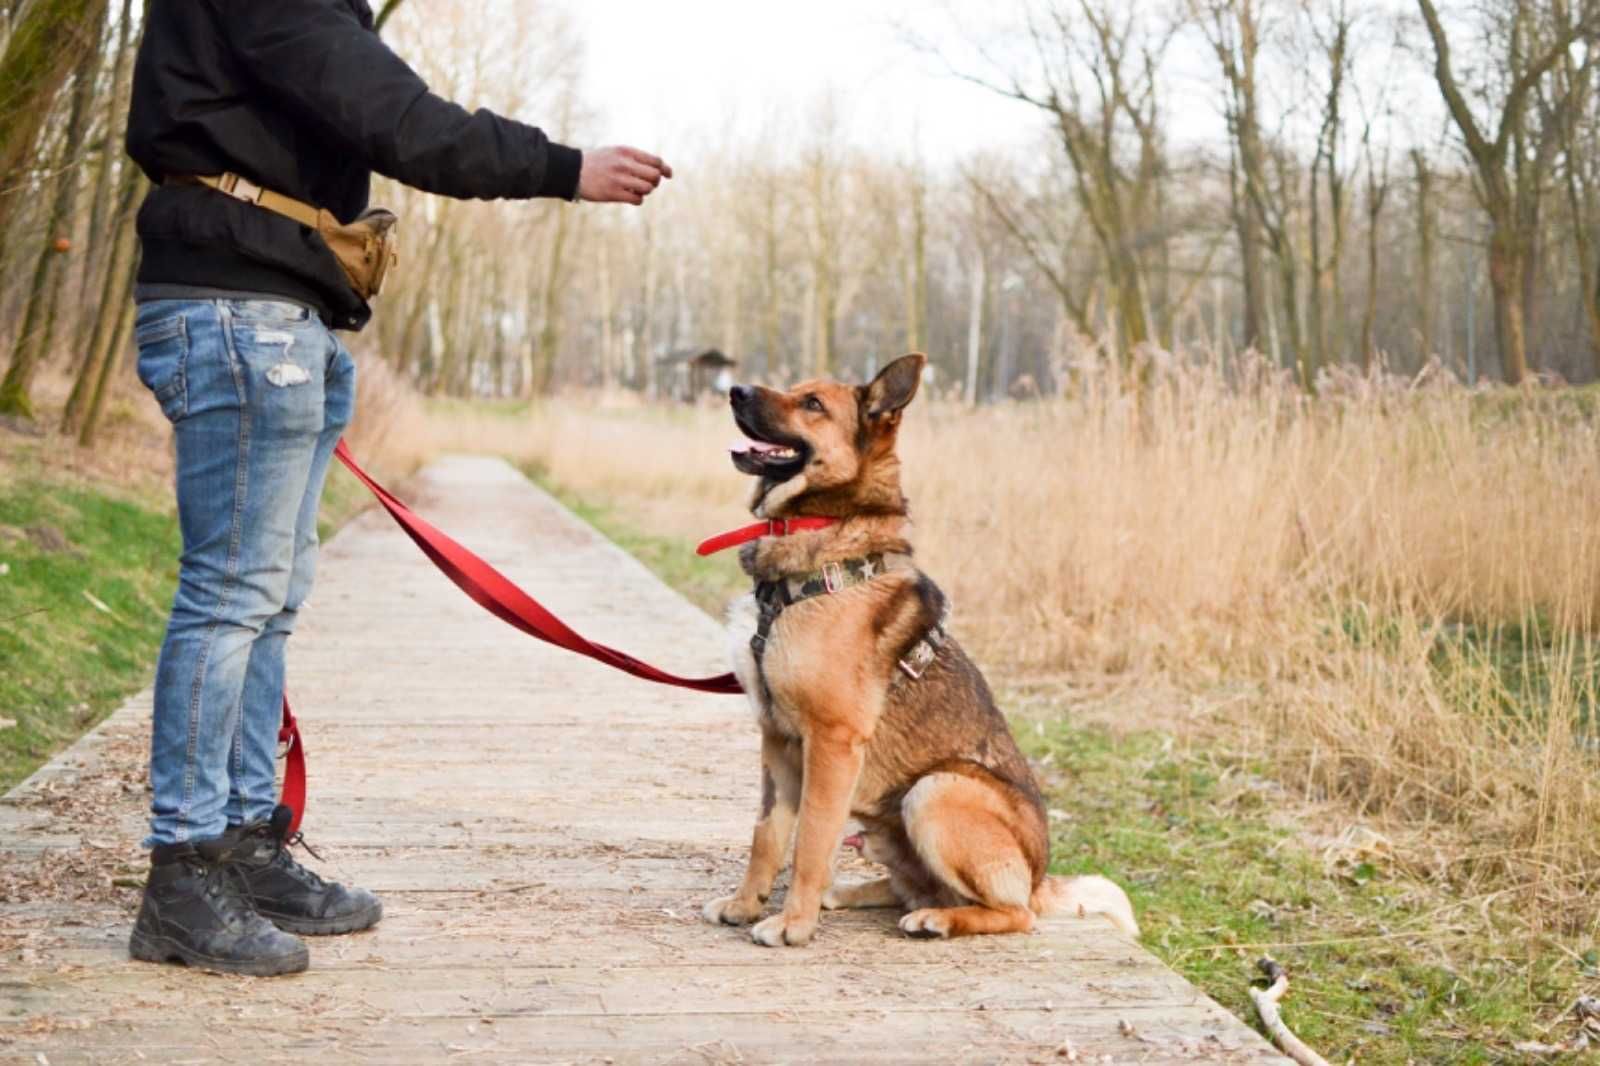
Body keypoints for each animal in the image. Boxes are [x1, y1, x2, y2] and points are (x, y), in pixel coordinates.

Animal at [704, 352, 1139, 941]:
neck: (823, 532)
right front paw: (746, 904)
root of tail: (1038, 878)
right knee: (907, 886)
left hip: (936, 789)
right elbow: (767, 836)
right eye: (794, 389)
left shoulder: (832, 744)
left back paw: (936, 918)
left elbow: (811, 841)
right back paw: (852, 894)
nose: (736, 391)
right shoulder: (777, 741)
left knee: (1012, 913)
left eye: (812, 403)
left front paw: (793, 924)